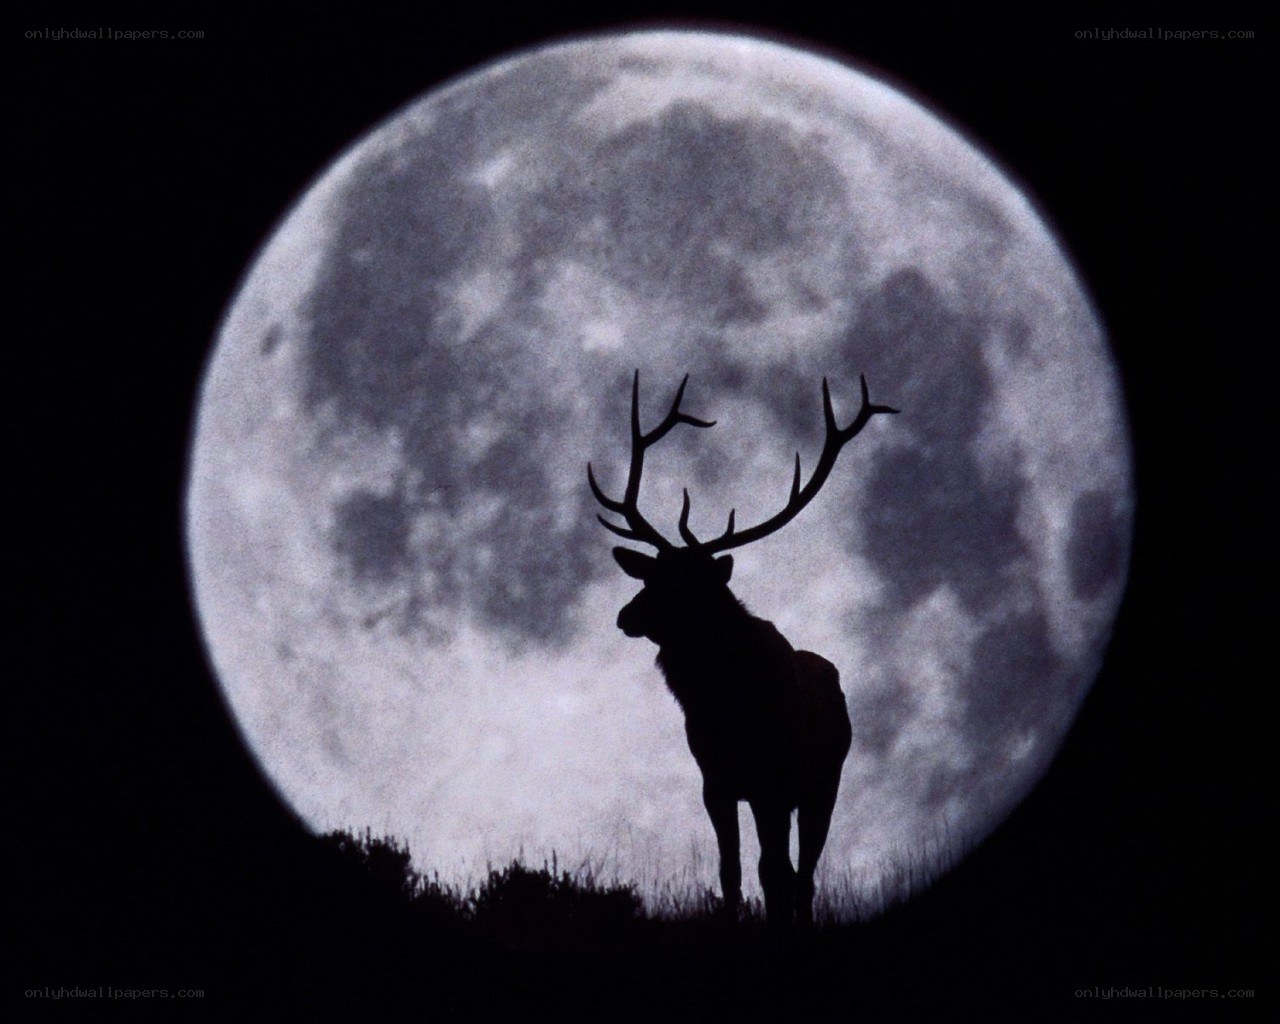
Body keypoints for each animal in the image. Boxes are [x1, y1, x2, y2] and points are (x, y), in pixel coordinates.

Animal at [588, 370, 898, 928]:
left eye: (688, 585)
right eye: (651, 575)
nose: (626, 616)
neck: (726, 705)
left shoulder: (773, 781)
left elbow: (773, 872)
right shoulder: (717, 781)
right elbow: (730, 872)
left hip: (823, 784)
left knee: (802, 873)